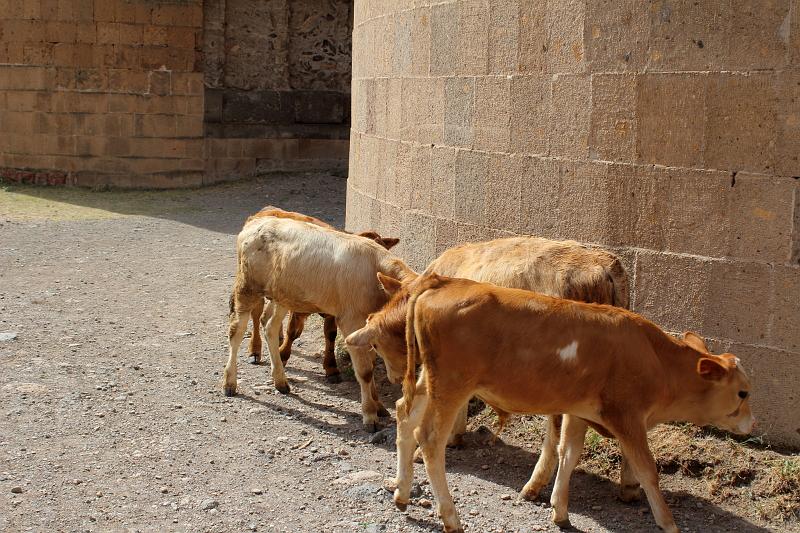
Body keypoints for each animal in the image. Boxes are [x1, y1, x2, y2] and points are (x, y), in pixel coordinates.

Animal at [241, 207, 399, 383]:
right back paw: (255, 349)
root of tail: (267, 209)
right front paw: (282, 355)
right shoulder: (298, 306)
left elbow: (330, 335)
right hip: (254, 285)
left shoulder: (333, 310)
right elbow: (293, 331)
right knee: (256, 315)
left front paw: (331, 367)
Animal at [349, 273, 754, 533]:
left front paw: (559, 510)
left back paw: (402, 493)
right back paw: (450, 517)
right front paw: (668, 523)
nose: (751, 425)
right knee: (430, 440)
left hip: (428, 382)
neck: (653, 357)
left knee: (404, 417)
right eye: (743, 392)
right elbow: (646, 470)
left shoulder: (579, 410)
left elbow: (568, 454)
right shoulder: (626, 415)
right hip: (452, 385)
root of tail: (444, 281)